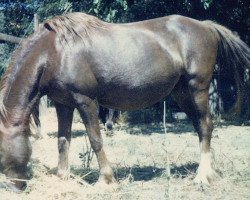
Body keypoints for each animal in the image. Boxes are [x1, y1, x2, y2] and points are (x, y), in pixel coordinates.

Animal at [0, 12, 250, 189]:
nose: (13, 187)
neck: (55, 51)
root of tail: (207, 26)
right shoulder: (64, 104)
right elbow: (63, 140)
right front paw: (63, 176)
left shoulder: (86, 101)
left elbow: (95, 139)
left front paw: (106, 180)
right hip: (182, 93)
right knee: (199, 126)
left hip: (197, 88)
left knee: (206, 126)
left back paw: (203, 176)